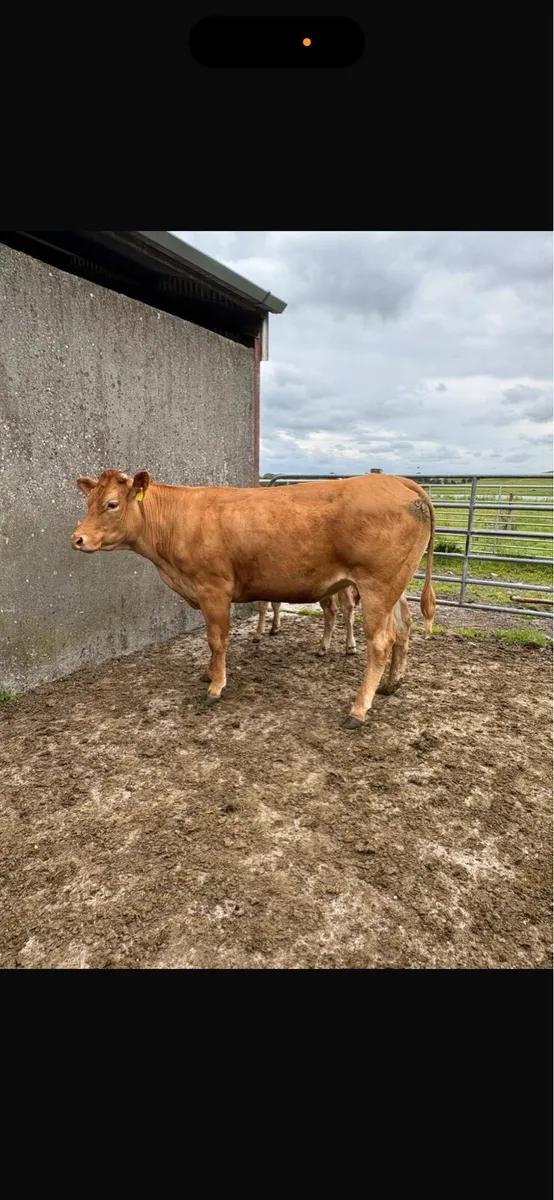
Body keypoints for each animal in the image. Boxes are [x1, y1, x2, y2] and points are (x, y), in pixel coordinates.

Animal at [71, 470, 435, 728]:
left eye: (112, 504)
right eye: (88, 502)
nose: (78, 539)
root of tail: (398, 480)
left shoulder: (213, 588)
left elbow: (217, 640)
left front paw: (215, 686)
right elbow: (212, 641)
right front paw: (209, 674)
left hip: (377, 586)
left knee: (380, 642)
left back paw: (358, 710)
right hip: (396, 585)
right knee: (404, 627)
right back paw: (392, 684)